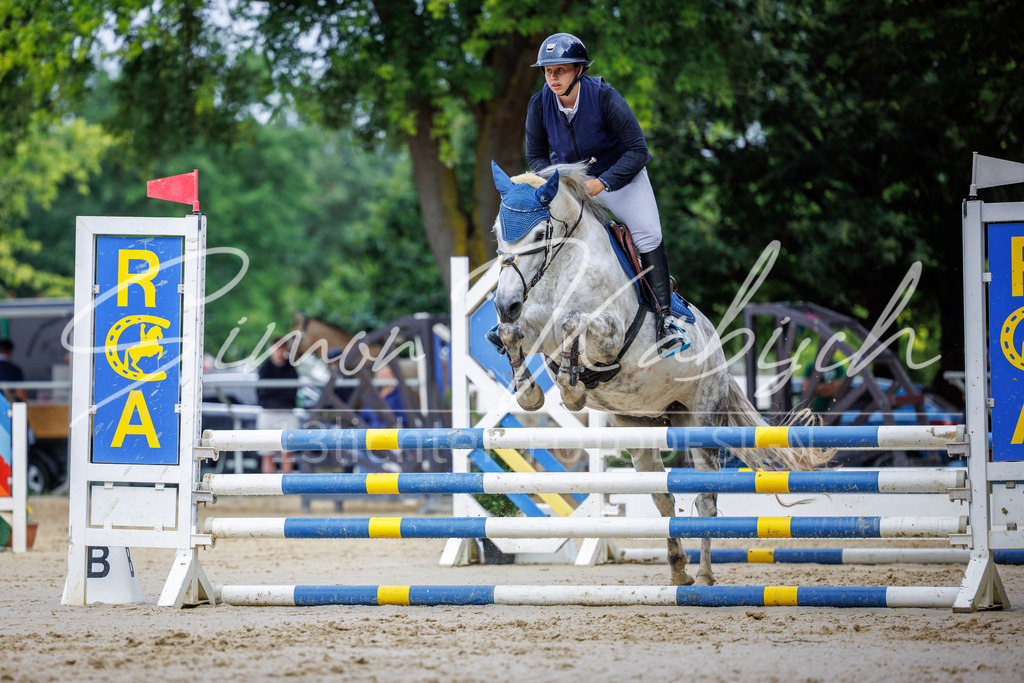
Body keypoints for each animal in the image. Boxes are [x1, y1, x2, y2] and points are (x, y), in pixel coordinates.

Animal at [489, 160, 833, 586]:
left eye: (539, 234)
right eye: (497, 233)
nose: (505, 302)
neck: (558, 272)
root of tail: (721, 356)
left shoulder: (608, 335)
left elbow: (574, 322)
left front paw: (571, 389)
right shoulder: (531, 324)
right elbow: (511, 334)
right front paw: (530, 392)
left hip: (702, 421)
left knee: (706, 499)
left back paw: (704, 576)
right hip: (638, 428)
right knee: (662, 496)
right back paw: (678, 570)